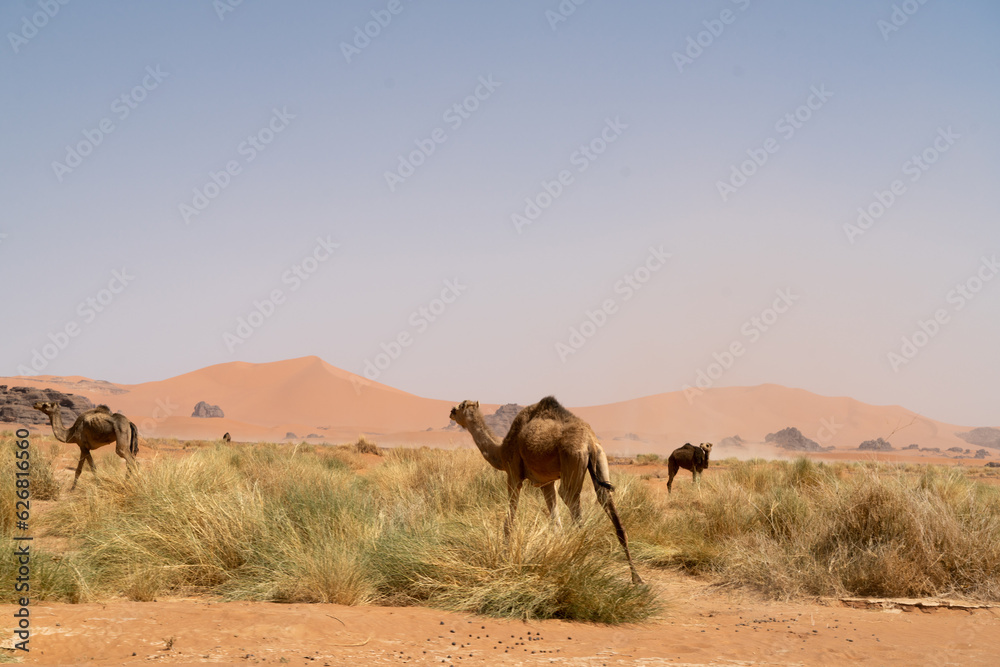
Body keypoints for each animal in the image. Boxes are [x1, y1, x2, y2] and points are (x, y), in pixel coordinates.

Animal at [452, 396, 644, 584]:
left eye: (461, 405)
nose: (451, 411)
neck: (501, 450)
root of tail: (589, 441)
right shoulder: (546, 482)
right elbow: (556, 524)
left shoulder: (513, 474)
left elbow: (509, 522)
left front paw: (505, 557)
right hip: (600, 459)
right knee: (607, 503)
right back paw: (636, 578)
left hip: (572, 458)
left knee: (571, 502)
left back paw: (579, 562)